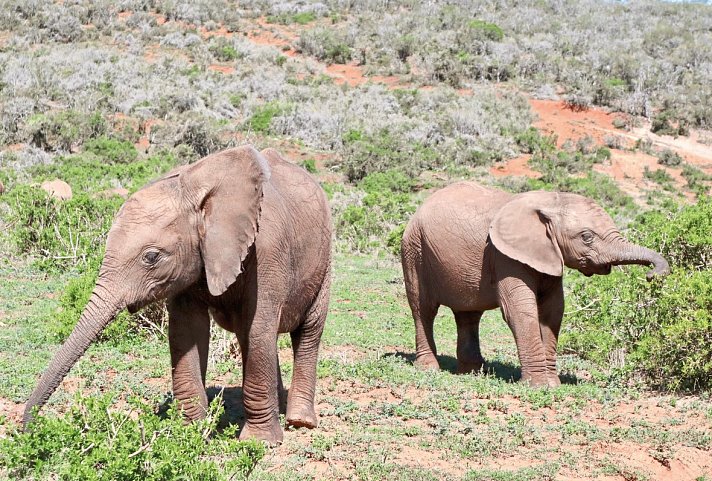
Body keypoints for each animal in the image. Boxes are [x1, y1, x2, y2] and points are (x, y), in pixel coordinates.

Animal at [23, 145, 332, 442]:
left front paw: (258, 442)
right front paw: (189, 433)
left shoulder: (268, 251)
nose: (28, 430)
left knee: (306, 332)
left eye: (151, 257)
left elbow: (259, 327)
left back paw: (300, 421)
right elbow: (187, 331)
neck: (194, 192)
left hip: (325, 260)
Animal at [404, 181, 672, 386]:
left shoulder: (548, 254)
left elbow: (553, 311)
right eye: (587, 237)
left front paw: (553, 384)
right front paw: (539, 385)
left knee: (469, 314)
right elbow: (520, 310)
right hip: (414, 250)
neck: (549, 203)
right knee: (423, 309)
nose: (651, 276)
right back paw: (429, 368)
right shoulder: (504, 255)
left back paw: (473, 372)